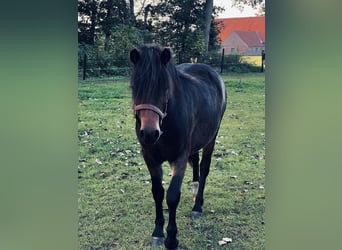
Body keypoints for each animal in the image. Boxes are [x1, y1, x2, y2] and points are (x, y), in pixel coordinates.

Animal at [130, 44, 226, 249]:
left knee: (204, 168)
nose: (149, 133)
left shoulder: (179, 158)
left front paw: (172, 238)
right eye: (135, 87)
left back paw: (197, 206)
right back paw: (195, 190)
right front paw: (158, 233)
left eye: (165, 88)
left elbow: (172, 196)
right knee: (196, 162)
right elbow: (158, 192)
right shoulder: (150, 158)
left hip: (211, 138)